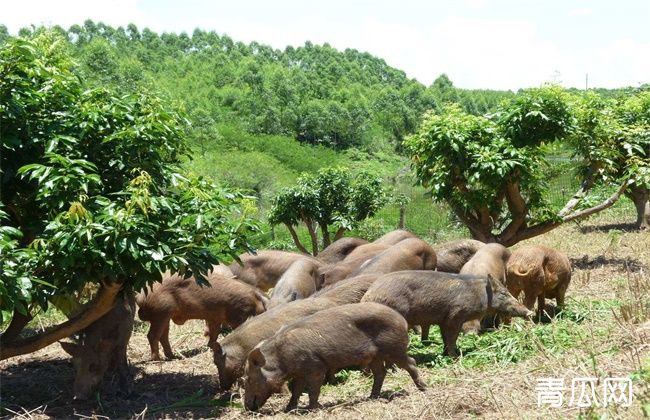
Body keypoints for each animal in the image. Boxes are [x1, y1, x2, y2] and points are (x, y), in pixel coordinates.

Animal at [137, 272, 266, 360]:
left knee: (163, 336)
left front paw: (211, 345)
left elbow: (214, 333)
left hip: (165, 316)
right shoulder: (237, 314)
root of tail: (142, 297)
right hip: (161, 313)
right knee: (152, 335)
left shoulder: (215, 318)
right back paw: (157, 359)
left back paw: (173, 356)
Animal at [243, 304, 426, 412]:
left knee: (411, 362)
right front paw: (288, 409)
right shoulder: (300, 372)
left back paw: (423, 388)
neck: (282, 358)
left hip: (394, 348)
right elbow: (296, 390)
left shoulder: (316, 367)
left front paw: (311, 409)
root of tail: (402, 320)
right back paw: (372, 397)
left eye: (249, 379)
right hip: (375, 356)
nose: (247, 407)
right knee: (380, 372)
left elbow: (313, 389)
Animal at [360, 270, 532, 356]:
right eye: (504, 293)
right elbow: (452, 337)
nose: (529, 312)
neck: (479, 295)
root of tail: (368, 295)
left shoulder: (442, 320)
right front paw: (454, 356)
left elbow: (445, 337)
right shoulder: (455, 316)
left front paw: (446, 353)